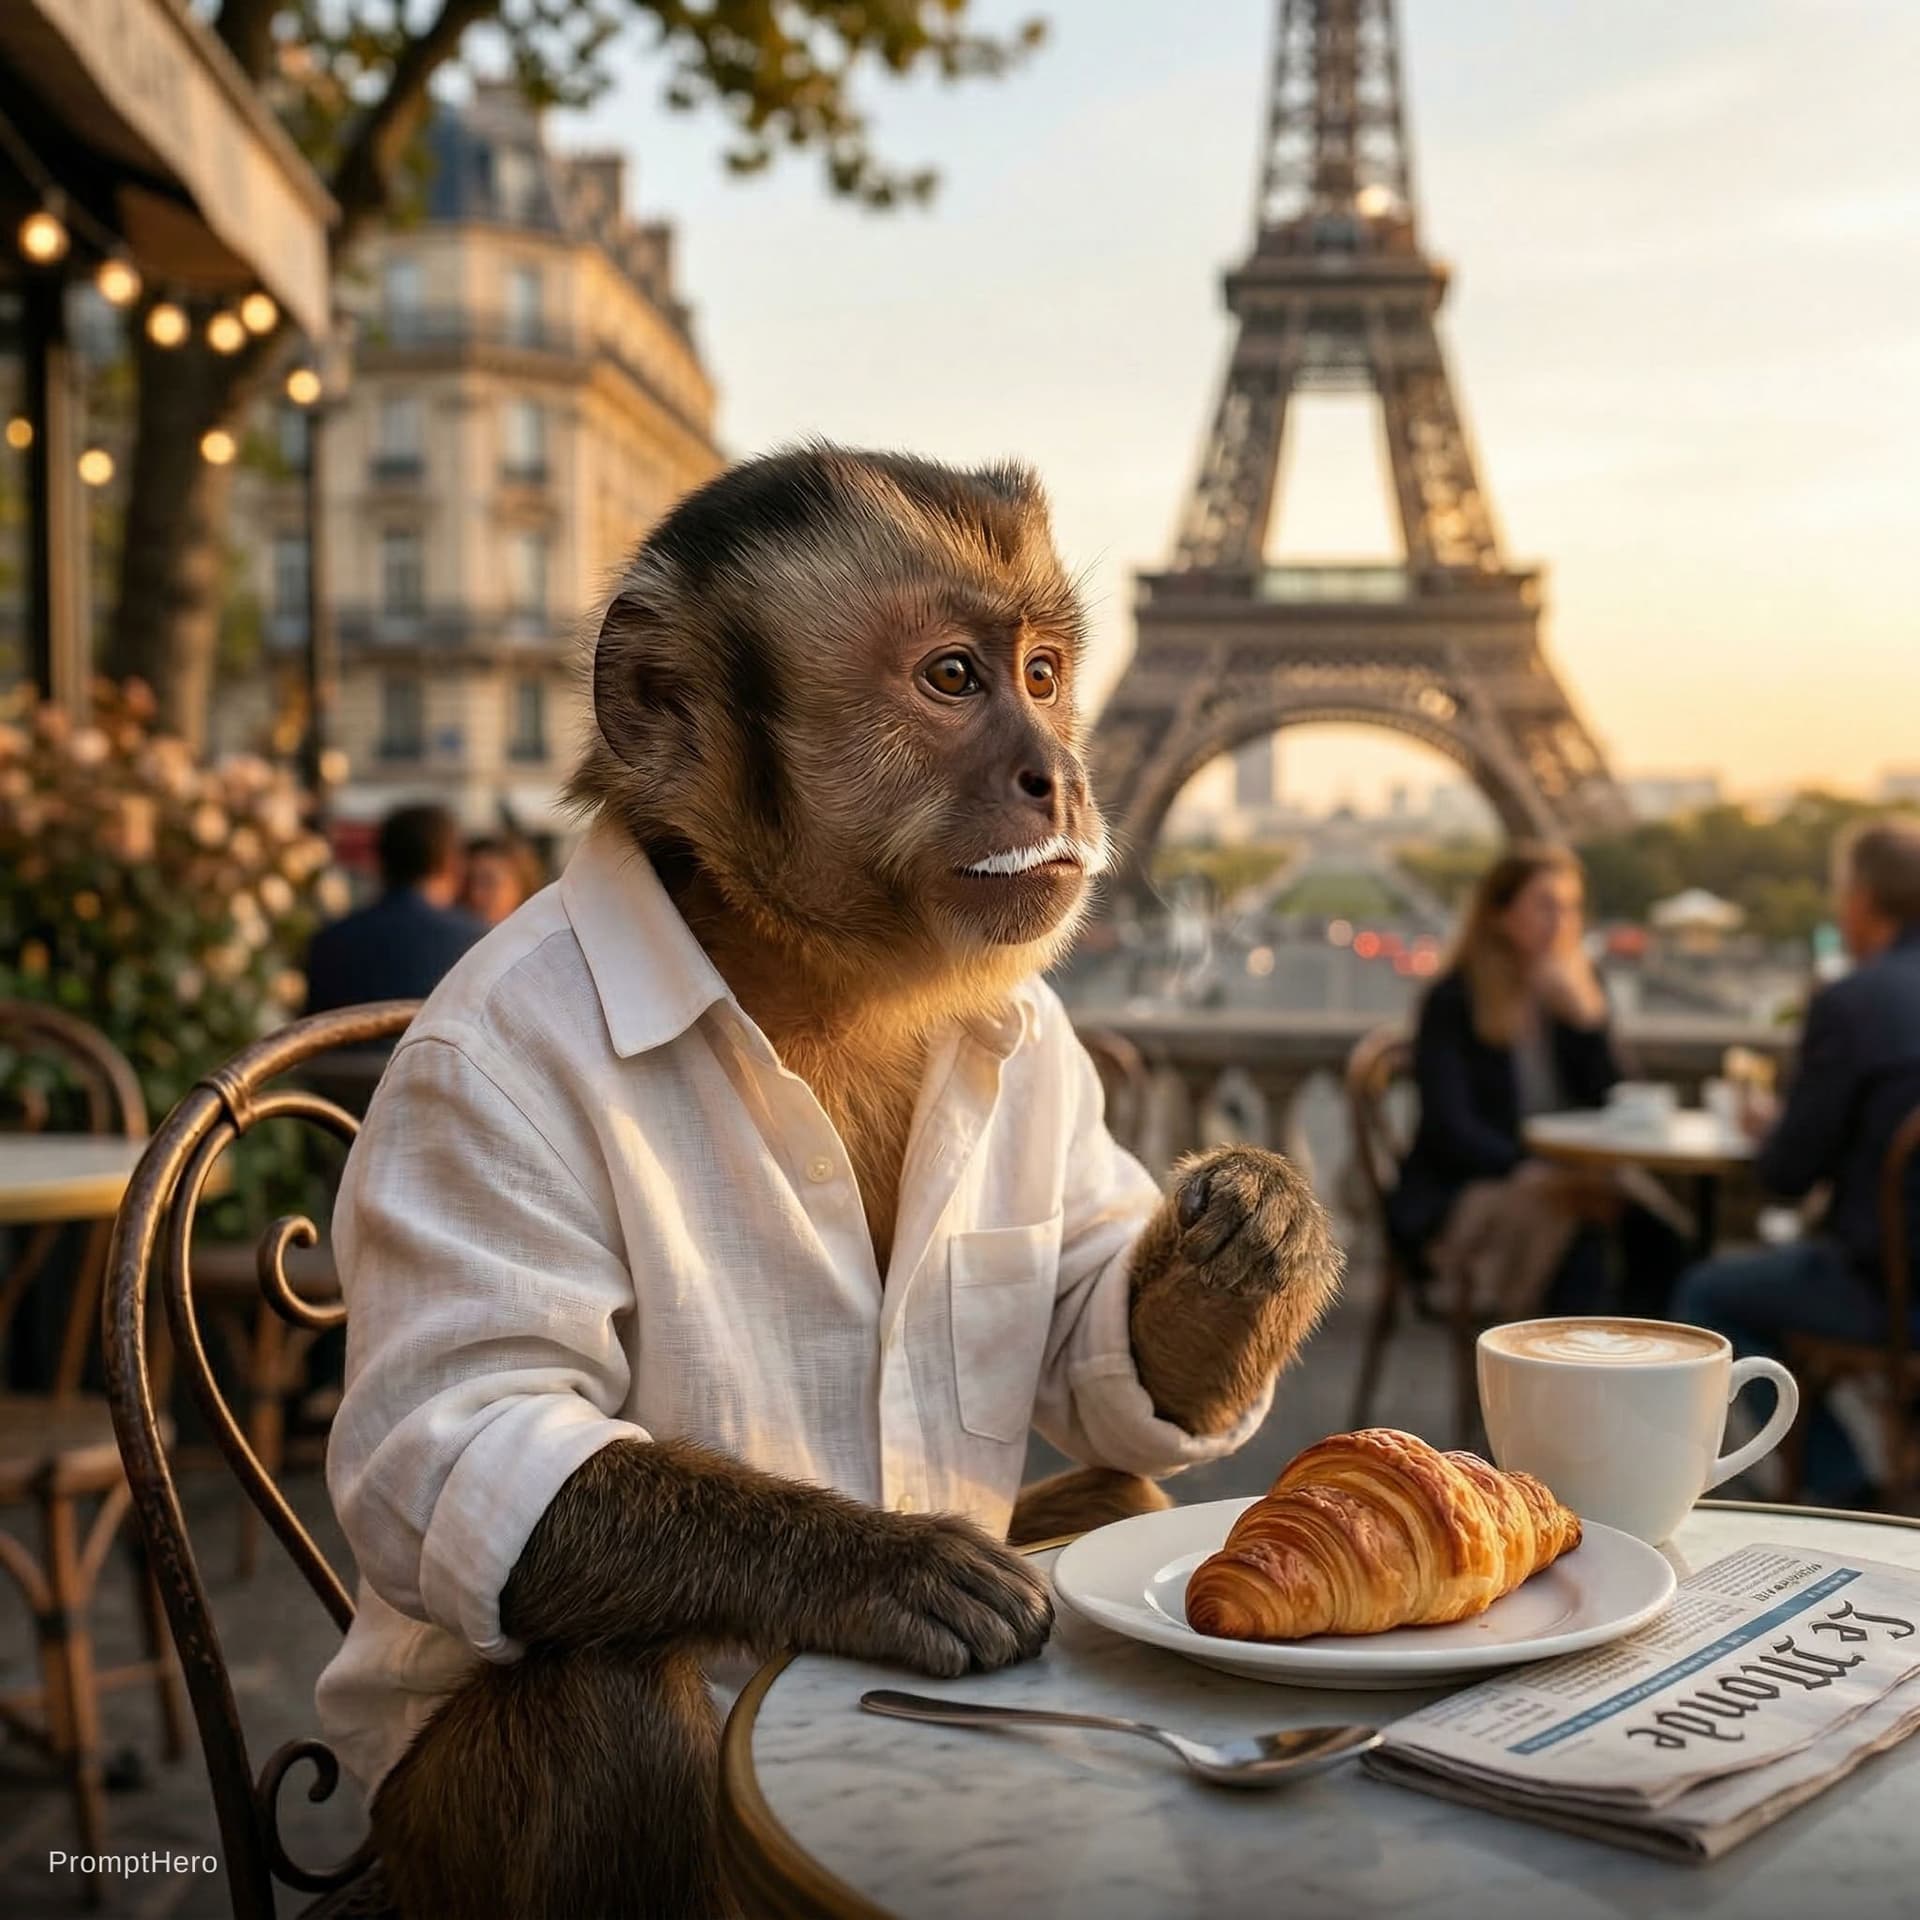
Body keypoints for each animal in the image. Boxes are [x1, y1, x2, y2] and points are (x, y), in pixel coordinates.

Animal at [327, 445, 1343, 1920]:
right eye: (952, 679)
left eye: (1044, 673)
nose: (1057, 773)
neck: (800, 970)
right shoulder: (467, 1075)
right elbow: (469, 1435)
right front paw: (878, 1564)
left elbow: (1095, 1355)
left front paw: (1258, 1235)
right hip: (417, 1842)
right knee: (607, 1692)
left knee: (1127, 1488)